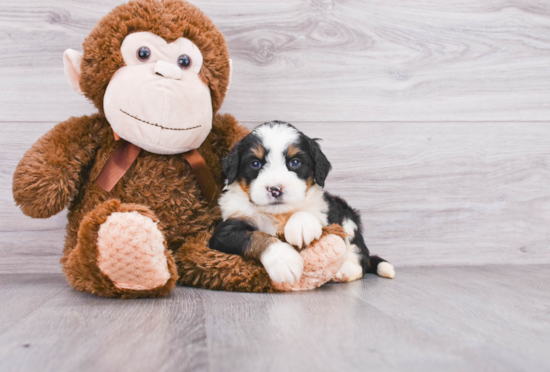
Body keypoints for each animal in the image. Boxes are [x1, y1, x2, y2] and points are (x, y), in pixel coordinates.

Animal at [209, 120, 394, 284]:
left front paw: (301, 226)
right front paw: (283, 260)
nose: (275, 189)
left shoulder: (325, 210)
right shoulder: (224, 231)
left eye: (295, 162)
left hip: (347, 216)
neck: (278, 214)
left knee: (360, 254)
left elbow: (307, 211)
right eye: (255, 163)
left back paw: (345, 269)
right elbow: (256, 237)